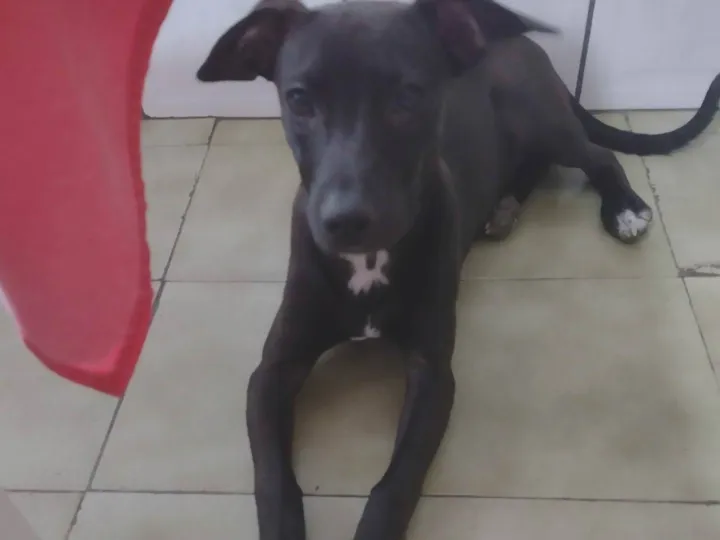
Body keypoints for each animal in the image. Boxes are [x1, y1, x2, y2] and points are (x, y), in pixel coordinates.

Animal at [197, 0, 720, 538]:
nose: (347, 220)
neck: (369, 262)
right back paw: (504, 209)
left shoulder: (433, 375)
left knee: (599, 156)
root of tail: (521, 41)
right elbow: (274, 480)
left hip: (540, 118)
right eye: (300, 100)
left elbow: (395, 485)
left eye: (408, 96)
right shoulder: (272, 370)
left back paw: (623, 209)